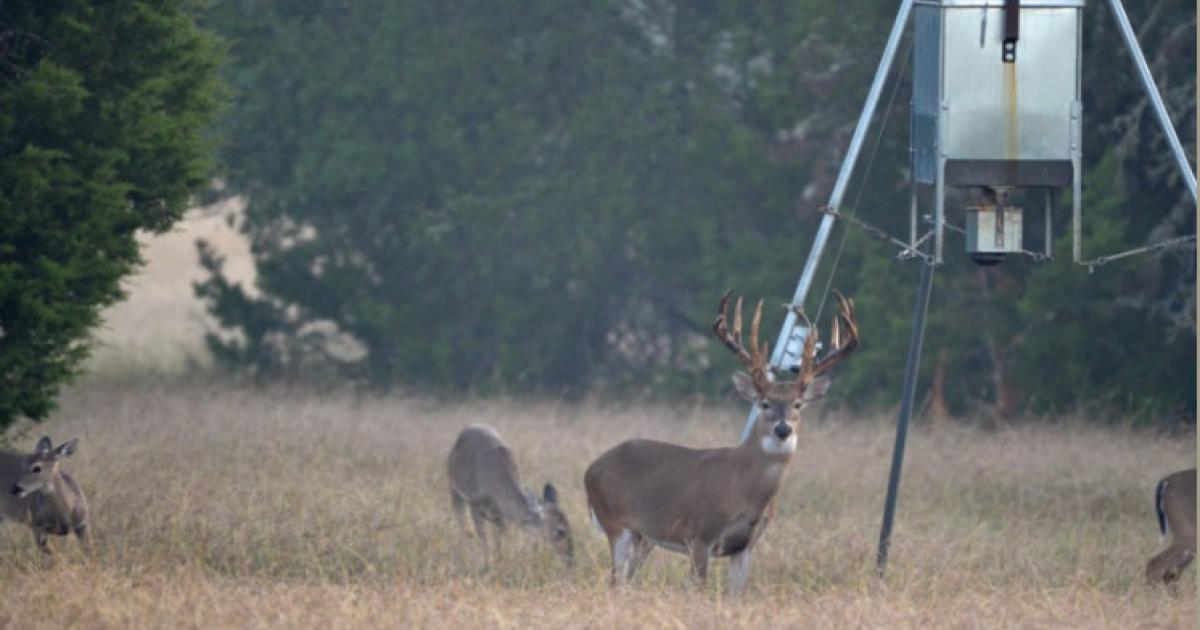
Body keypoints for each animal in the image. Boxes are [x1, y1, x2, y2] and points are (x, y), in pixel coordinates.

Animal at [1, 436, 91, 567]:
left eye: (37, 468)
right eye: (23, 465)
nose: (15, 488)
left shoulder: (82, 524)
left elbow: (88, 552)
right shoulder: (36, 526)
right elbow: (55, 556)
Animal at [448, 424, 574, 568]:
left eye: (570, 527)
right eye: (561, 531)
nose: (571, 560)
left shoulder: (502, 519)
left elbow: (499, 546)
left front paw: (499, 564)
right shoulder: (475, 506)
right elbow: (484, 541)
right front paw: (486, 566)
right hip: (453, 489)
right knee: (465, 528)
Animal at [585, 290, 858, 594]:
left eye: (797, 405)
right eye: (764, 403)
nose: (783, 428)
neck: (744, 488)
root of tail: (591, 468)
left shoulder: (746, 546)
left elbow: (737, 594)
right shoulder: (699, 533)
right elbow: (698, 589)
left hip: (643, 536)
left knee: (625, 580)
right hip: (615, 522)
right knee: (614, 579)